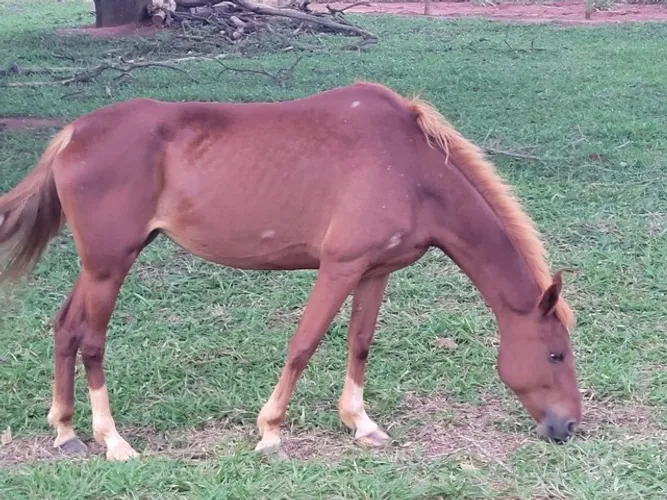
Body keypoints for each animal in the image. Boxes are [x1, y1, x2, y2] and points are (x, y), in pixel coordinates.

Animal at [0, 81, 581, 461]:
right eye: (555, 354)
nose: (569, 426)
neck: (410, 168)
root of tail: (73, 134)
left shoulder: (375, 272)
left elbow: (359, 344)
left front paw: (361, 423)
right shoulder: (339, 267)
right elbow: (303, 345)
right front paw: (270, 432)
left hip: (101, 264)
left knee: (66, 328)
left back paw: (66, 431)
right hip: (109, 266)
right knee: (92, 341)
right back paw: (112, 440)